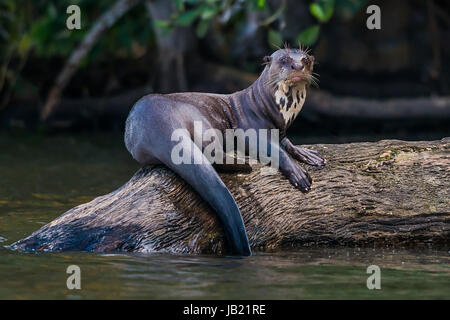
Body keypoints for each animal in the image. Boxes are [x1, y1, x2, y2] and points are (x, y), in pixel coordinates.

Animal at [125, 46, 326, 256]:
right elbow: (273, 148)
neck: (268, 107)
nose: (298, 66)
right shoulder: (250, 128)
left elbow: (286, 142)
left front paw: (308, 155)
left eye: (305, 59)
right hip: (198, 118)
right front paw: (298, 173)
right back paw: (243, 165)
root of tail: (155, 121)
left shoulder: (281, 131)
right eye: (284, 60)